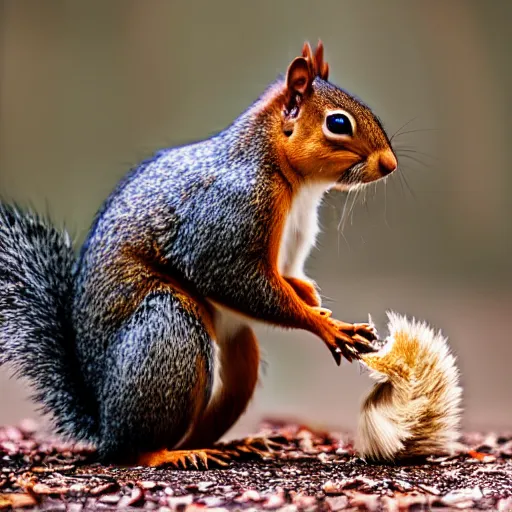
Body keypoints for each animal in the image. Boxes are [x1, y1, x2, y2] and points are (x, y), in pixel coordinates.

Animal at [0, 43, 398, 468]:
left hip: (236, 362)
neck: (292, 180)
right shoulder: (227, 216)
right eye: (338, 123)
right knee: (131, 449)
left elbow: (288, 279)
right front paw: (326, 326)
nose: (390, 164)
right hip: (170, 328)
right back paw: (169, 454)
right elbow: (232, 278)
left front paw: (309, 296)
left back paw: (226, 445)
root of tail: (103, 421)